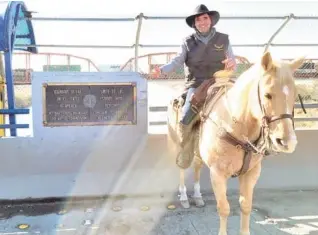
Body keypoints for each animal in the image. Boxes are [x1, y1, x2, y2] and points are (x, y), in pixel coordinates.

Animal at [165, 51, 304, 235]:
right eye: (267, 94)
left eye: (295, 95)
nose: (288, 142)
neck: (235, 126)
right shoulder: (217, 174)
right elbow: (224, 208)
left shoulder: (251, 173)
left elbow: (246, 206)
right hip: (179, 143)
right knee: (182, 166)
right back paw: (184, 197)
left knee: (196, 165)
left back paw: (198, 196)